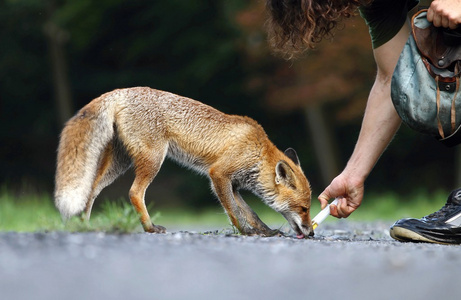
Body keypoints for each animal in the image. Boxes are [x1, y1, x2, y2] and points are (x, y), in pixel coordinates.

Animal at [54, 87, 312, 239]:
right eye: (304, 209)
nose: (310, 233)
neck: (257, 152)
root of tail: (121, 91)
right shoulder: (218, 175)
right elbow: (234, 212)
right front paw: (245, 232)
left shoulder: (234, 184)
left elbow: (251, 212)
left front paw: (265, 231)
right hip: (153, 159)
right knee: (134, 192)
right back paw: (150, 228)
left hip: (119, 163)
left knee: (91, 190)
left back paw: (84, 226)